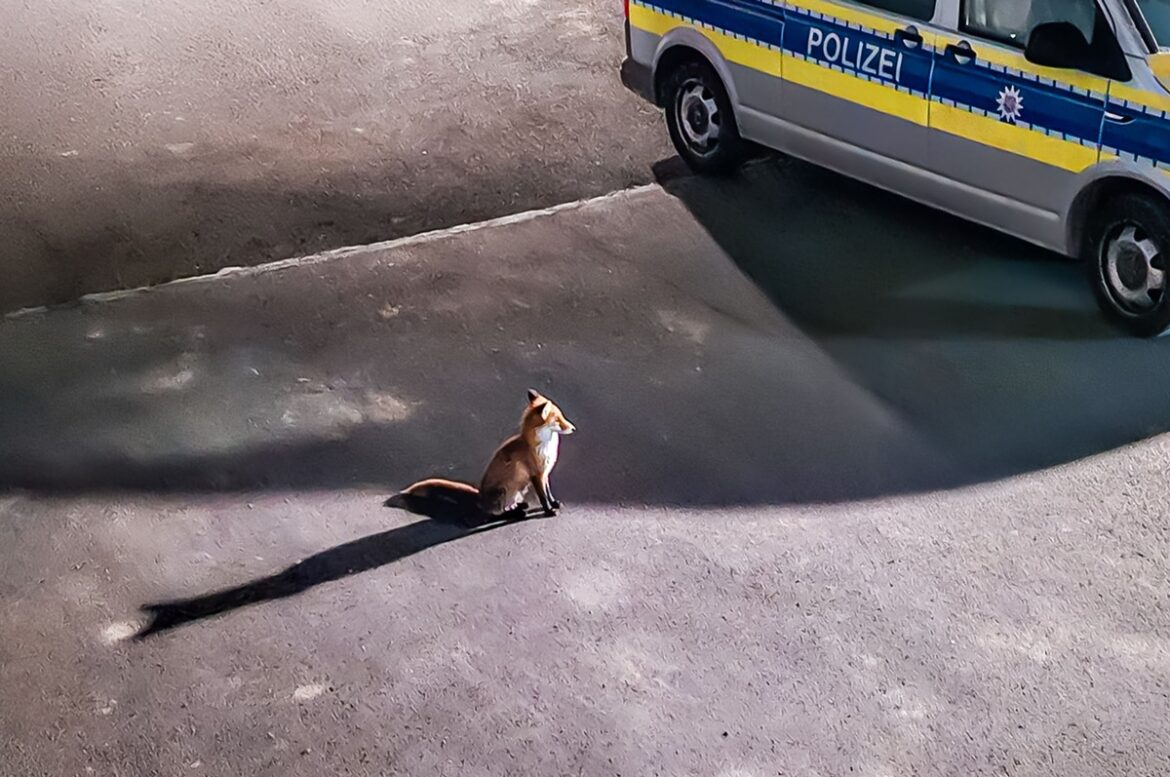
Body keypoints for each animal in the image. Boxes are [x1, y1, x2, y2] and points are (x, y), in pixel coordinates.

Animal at [386, 390, 577, 524]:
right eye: (558, 420)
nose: (573, 428)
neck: (544, 447)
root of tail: (479, 496)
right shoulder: (536, 474)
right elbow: (543, 497)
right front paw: (549, 511)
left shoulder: (545, 473)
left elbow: (549, 493)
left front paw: (555, 504)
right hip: (503, 491)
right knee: (493, 514)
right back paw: (516, 513)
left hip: (519, 490)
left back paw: (519, 506)